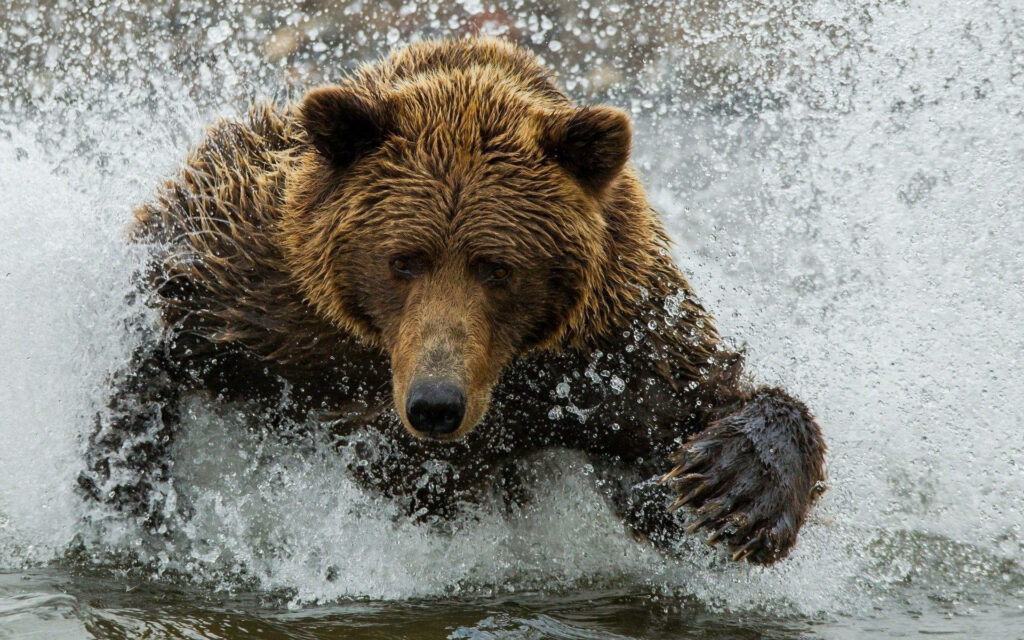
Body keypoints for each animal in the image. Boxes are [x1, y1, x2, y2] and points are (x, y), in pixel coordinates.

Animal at [79, 36, 826, 566]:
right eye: (402, 260)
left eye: (497, 267)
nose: (435, 404)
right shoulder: (257, 280)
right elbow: (160, 328)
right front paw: (126, 488)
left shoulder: (610, 350)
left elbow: (692, 409)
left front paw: (733, 488)